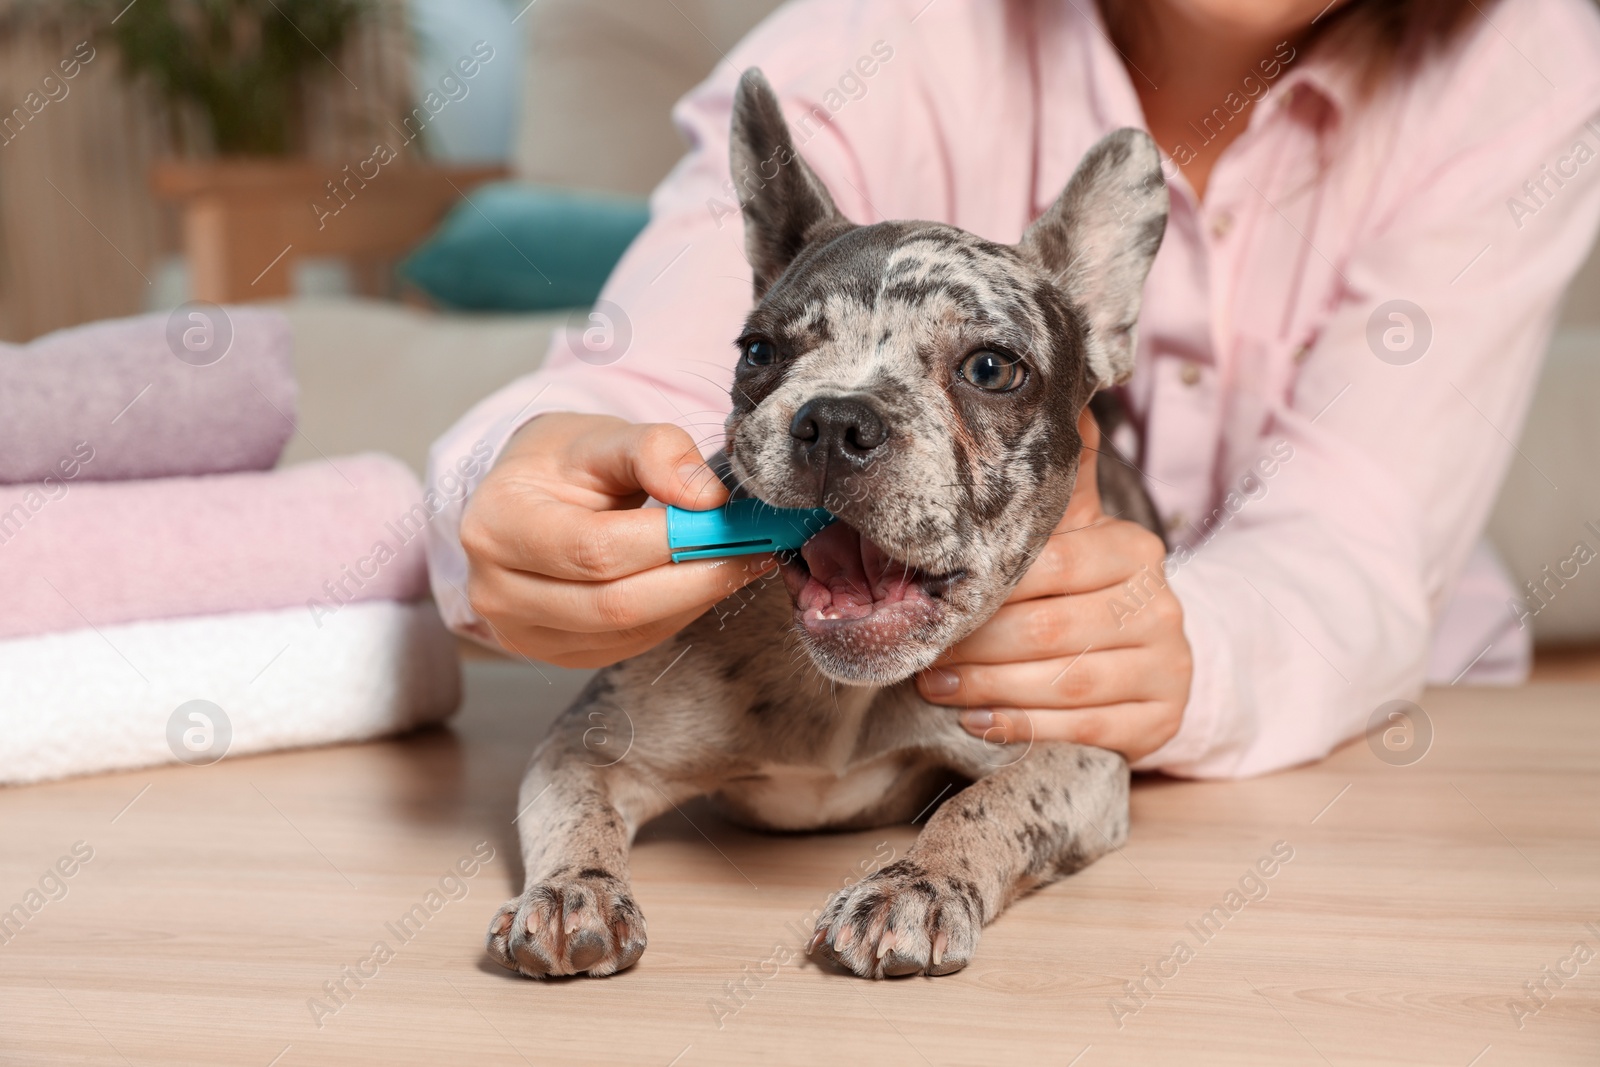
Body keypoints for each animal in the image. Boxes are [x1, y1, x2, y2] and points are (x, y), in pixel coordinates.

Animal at [480, 66, 1171, 979]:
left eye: (992, 368)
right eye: (758, 352)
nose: (838, 418)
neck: (840, 690)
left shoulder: (1074, 756)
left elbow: (987, 804)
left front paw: (915, 883)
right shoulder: (587, 743)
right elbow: (575, 812)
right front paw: (572, 890)